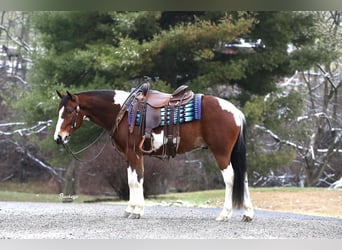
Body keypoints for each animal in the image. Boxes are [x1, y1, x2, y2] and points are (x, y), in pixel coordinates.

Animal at [54, 87, 254, 222]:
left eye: (69, 111)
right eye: (59, 112)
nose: (58, 138)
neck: (123, 112)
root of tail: (236, 112)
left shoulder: (135, 154)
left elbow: (137, 181)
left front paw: (137, 211)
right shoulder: (128, 156)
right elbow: (131, 181)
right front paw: (130, 209)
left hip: (221, 153)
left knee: (230, 178)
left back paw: (224, 214)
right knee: (243, 178)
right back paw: (247, 214)